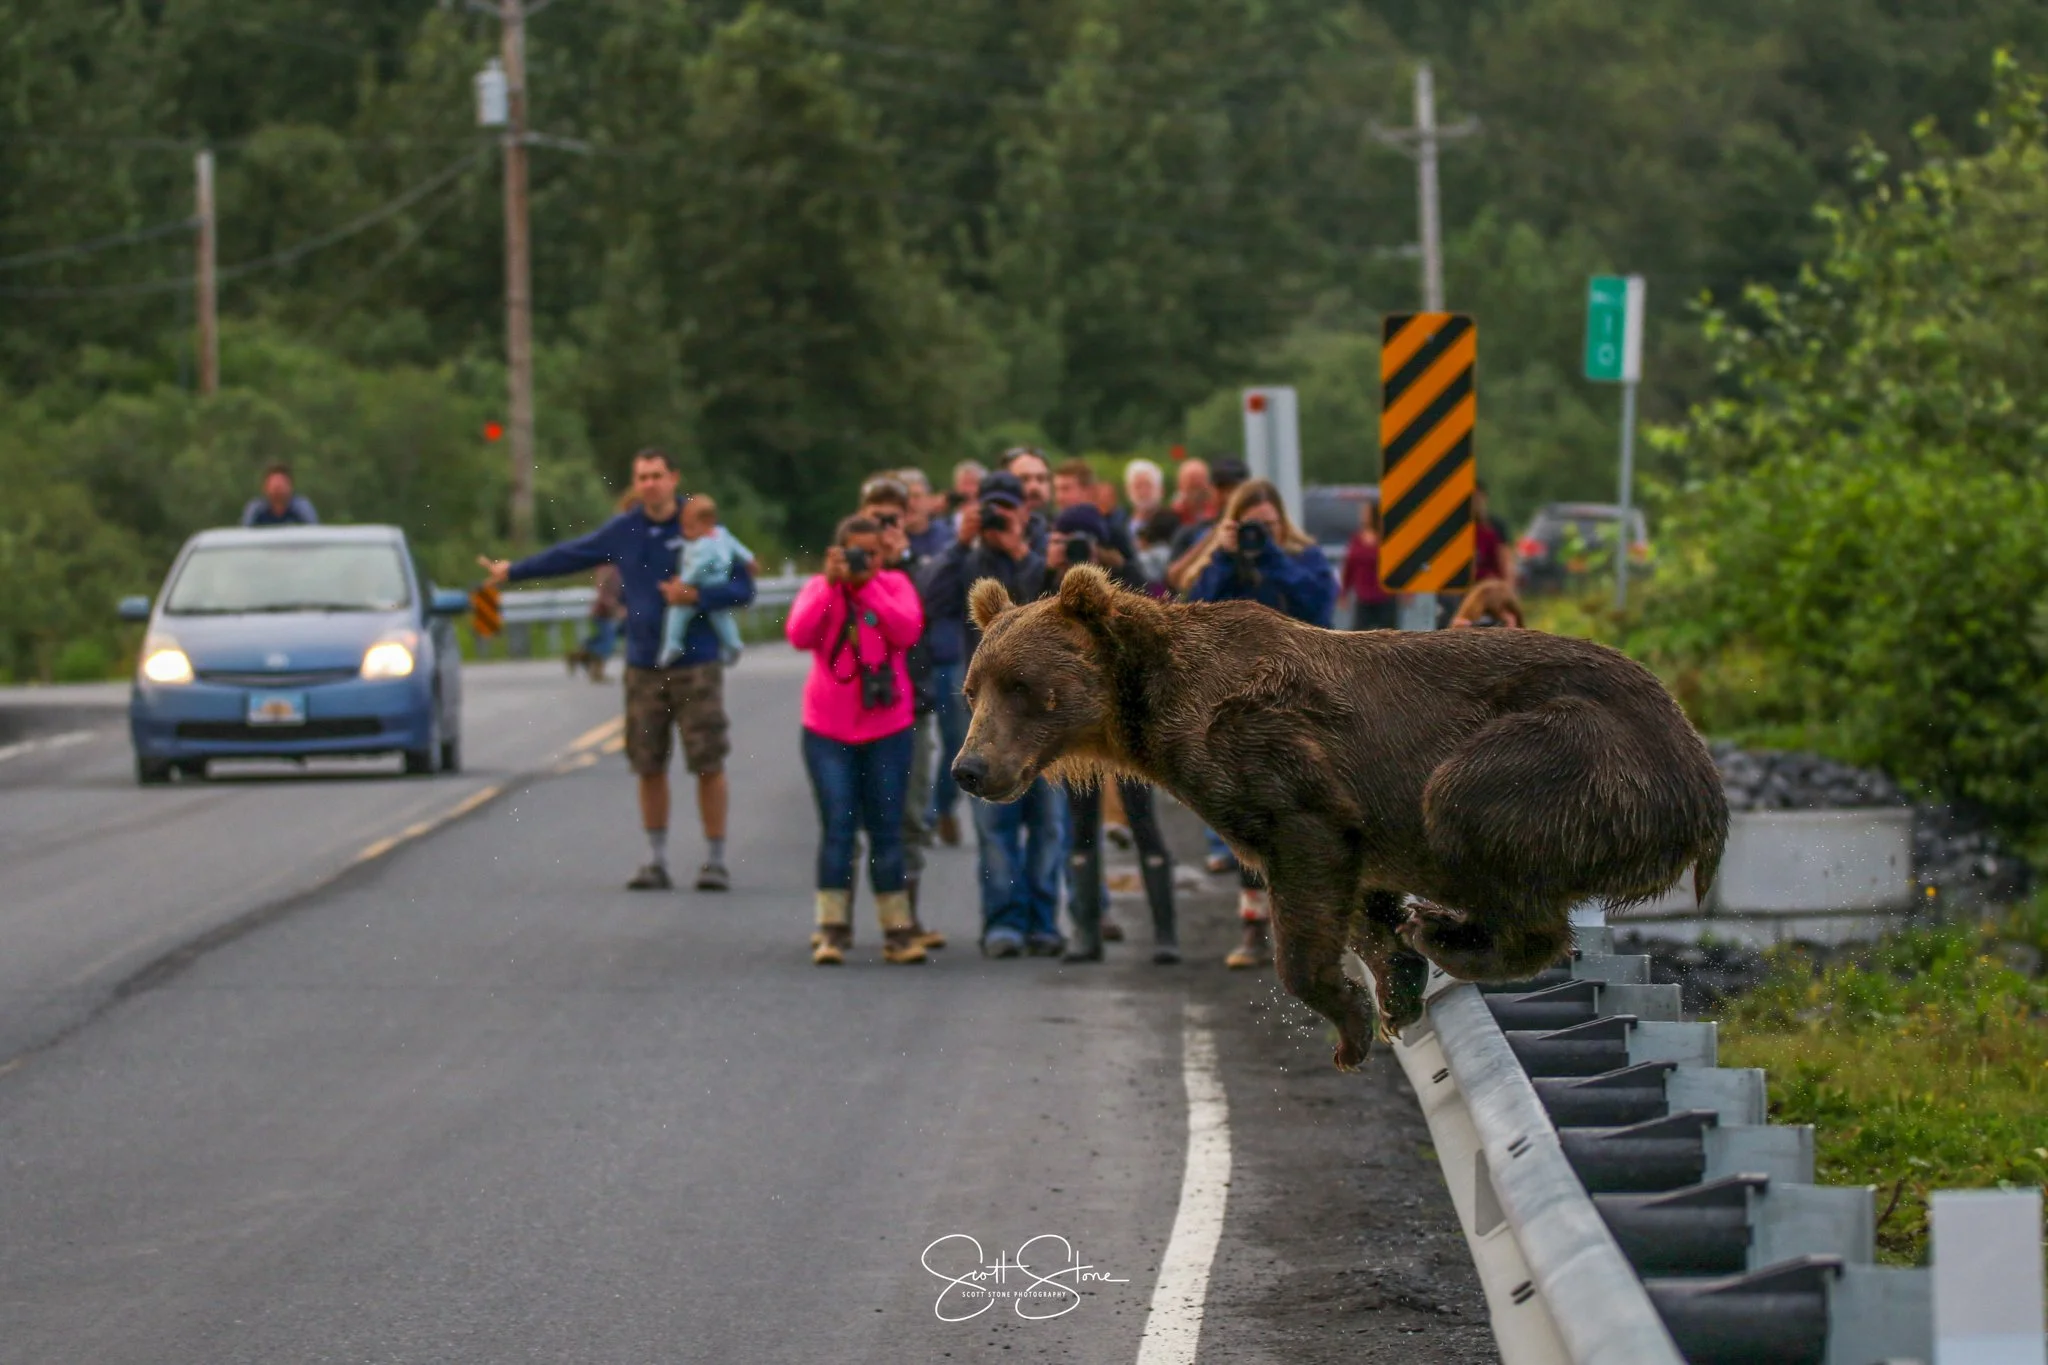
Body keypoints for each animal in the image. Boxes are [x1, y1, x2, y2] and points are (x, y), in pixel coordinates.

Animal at [951, 565, 1727, 1072]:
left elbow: (1308, 866)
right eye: (972, 688)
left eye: (1023, 686)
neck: (1154, 708)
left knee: (1465, 803)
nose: (970, 768)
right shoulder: (1334, 818)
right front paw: (1392, 991)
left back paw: (1453, 933)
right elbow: (1362, 899)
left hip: (1577, 752)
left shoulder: (1276, 761)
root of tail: (1703, 773)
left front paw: (1350, 1022)